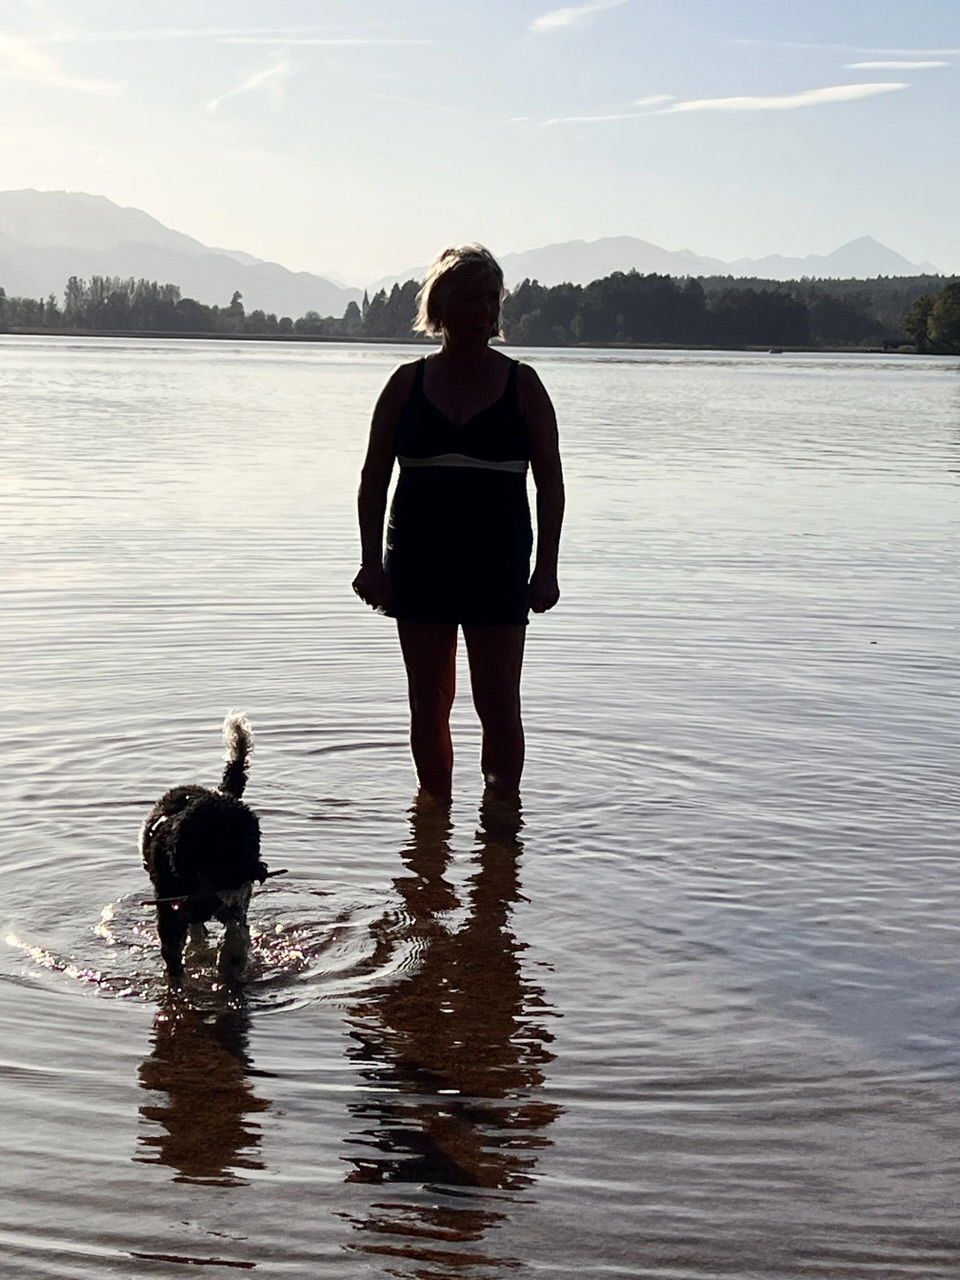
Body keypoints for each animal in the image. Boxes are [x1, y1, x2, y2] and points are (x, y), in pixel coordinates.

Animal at [138, 716, 268, 983]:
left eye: (251, 841)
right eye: (218, 844)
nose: (252, 872)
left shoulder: (234, 907)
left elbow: (235, 941)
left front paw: (229, 972)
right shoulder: (170, 916)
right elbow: (173, 958)